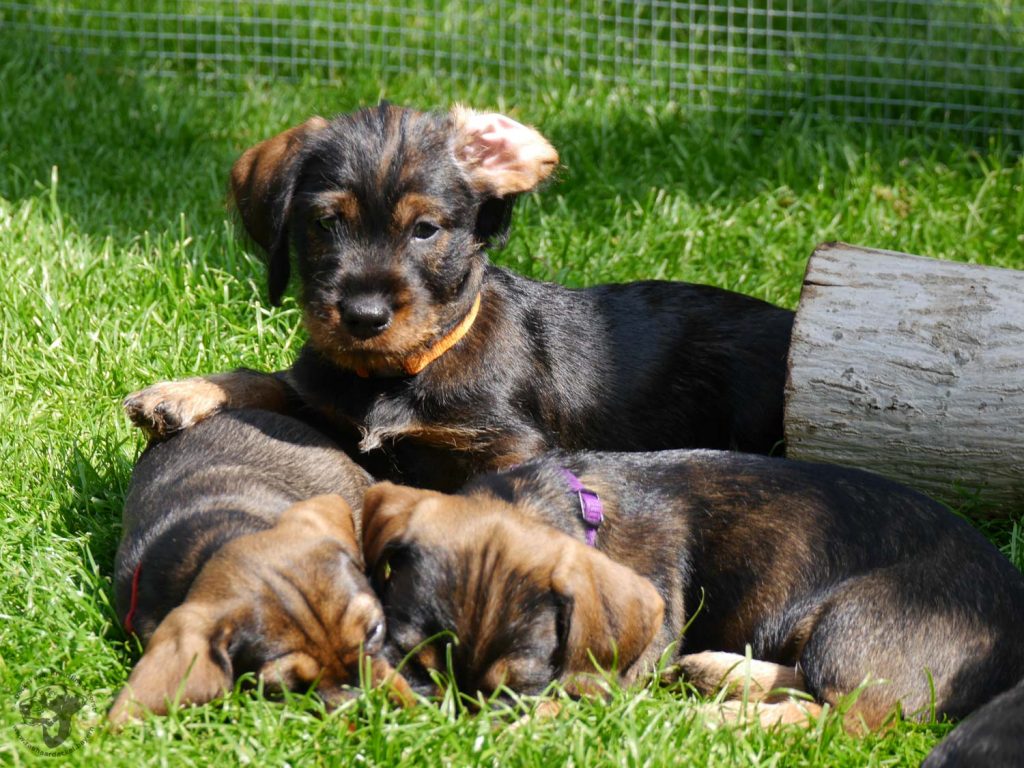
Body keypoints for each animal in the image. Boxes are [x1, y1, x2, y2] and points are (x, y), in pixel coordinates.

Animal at [125, 103, 790, 493]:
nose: (363, 317)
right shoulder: (326, 401)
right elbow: (267, 379)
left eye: (425, 230)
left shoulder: (508, 445)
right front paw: (179, 394)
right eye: (325, 224)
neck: (398, 373)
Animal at [360, 450, 1024, 733]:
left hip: (853, 624)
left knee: (838, 717)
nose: (448, 726)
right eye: (407, 658)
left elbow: (574, 696)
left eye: (518, 689)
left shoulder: (618, 670)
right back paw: (716, 673)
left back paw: (716, 717)